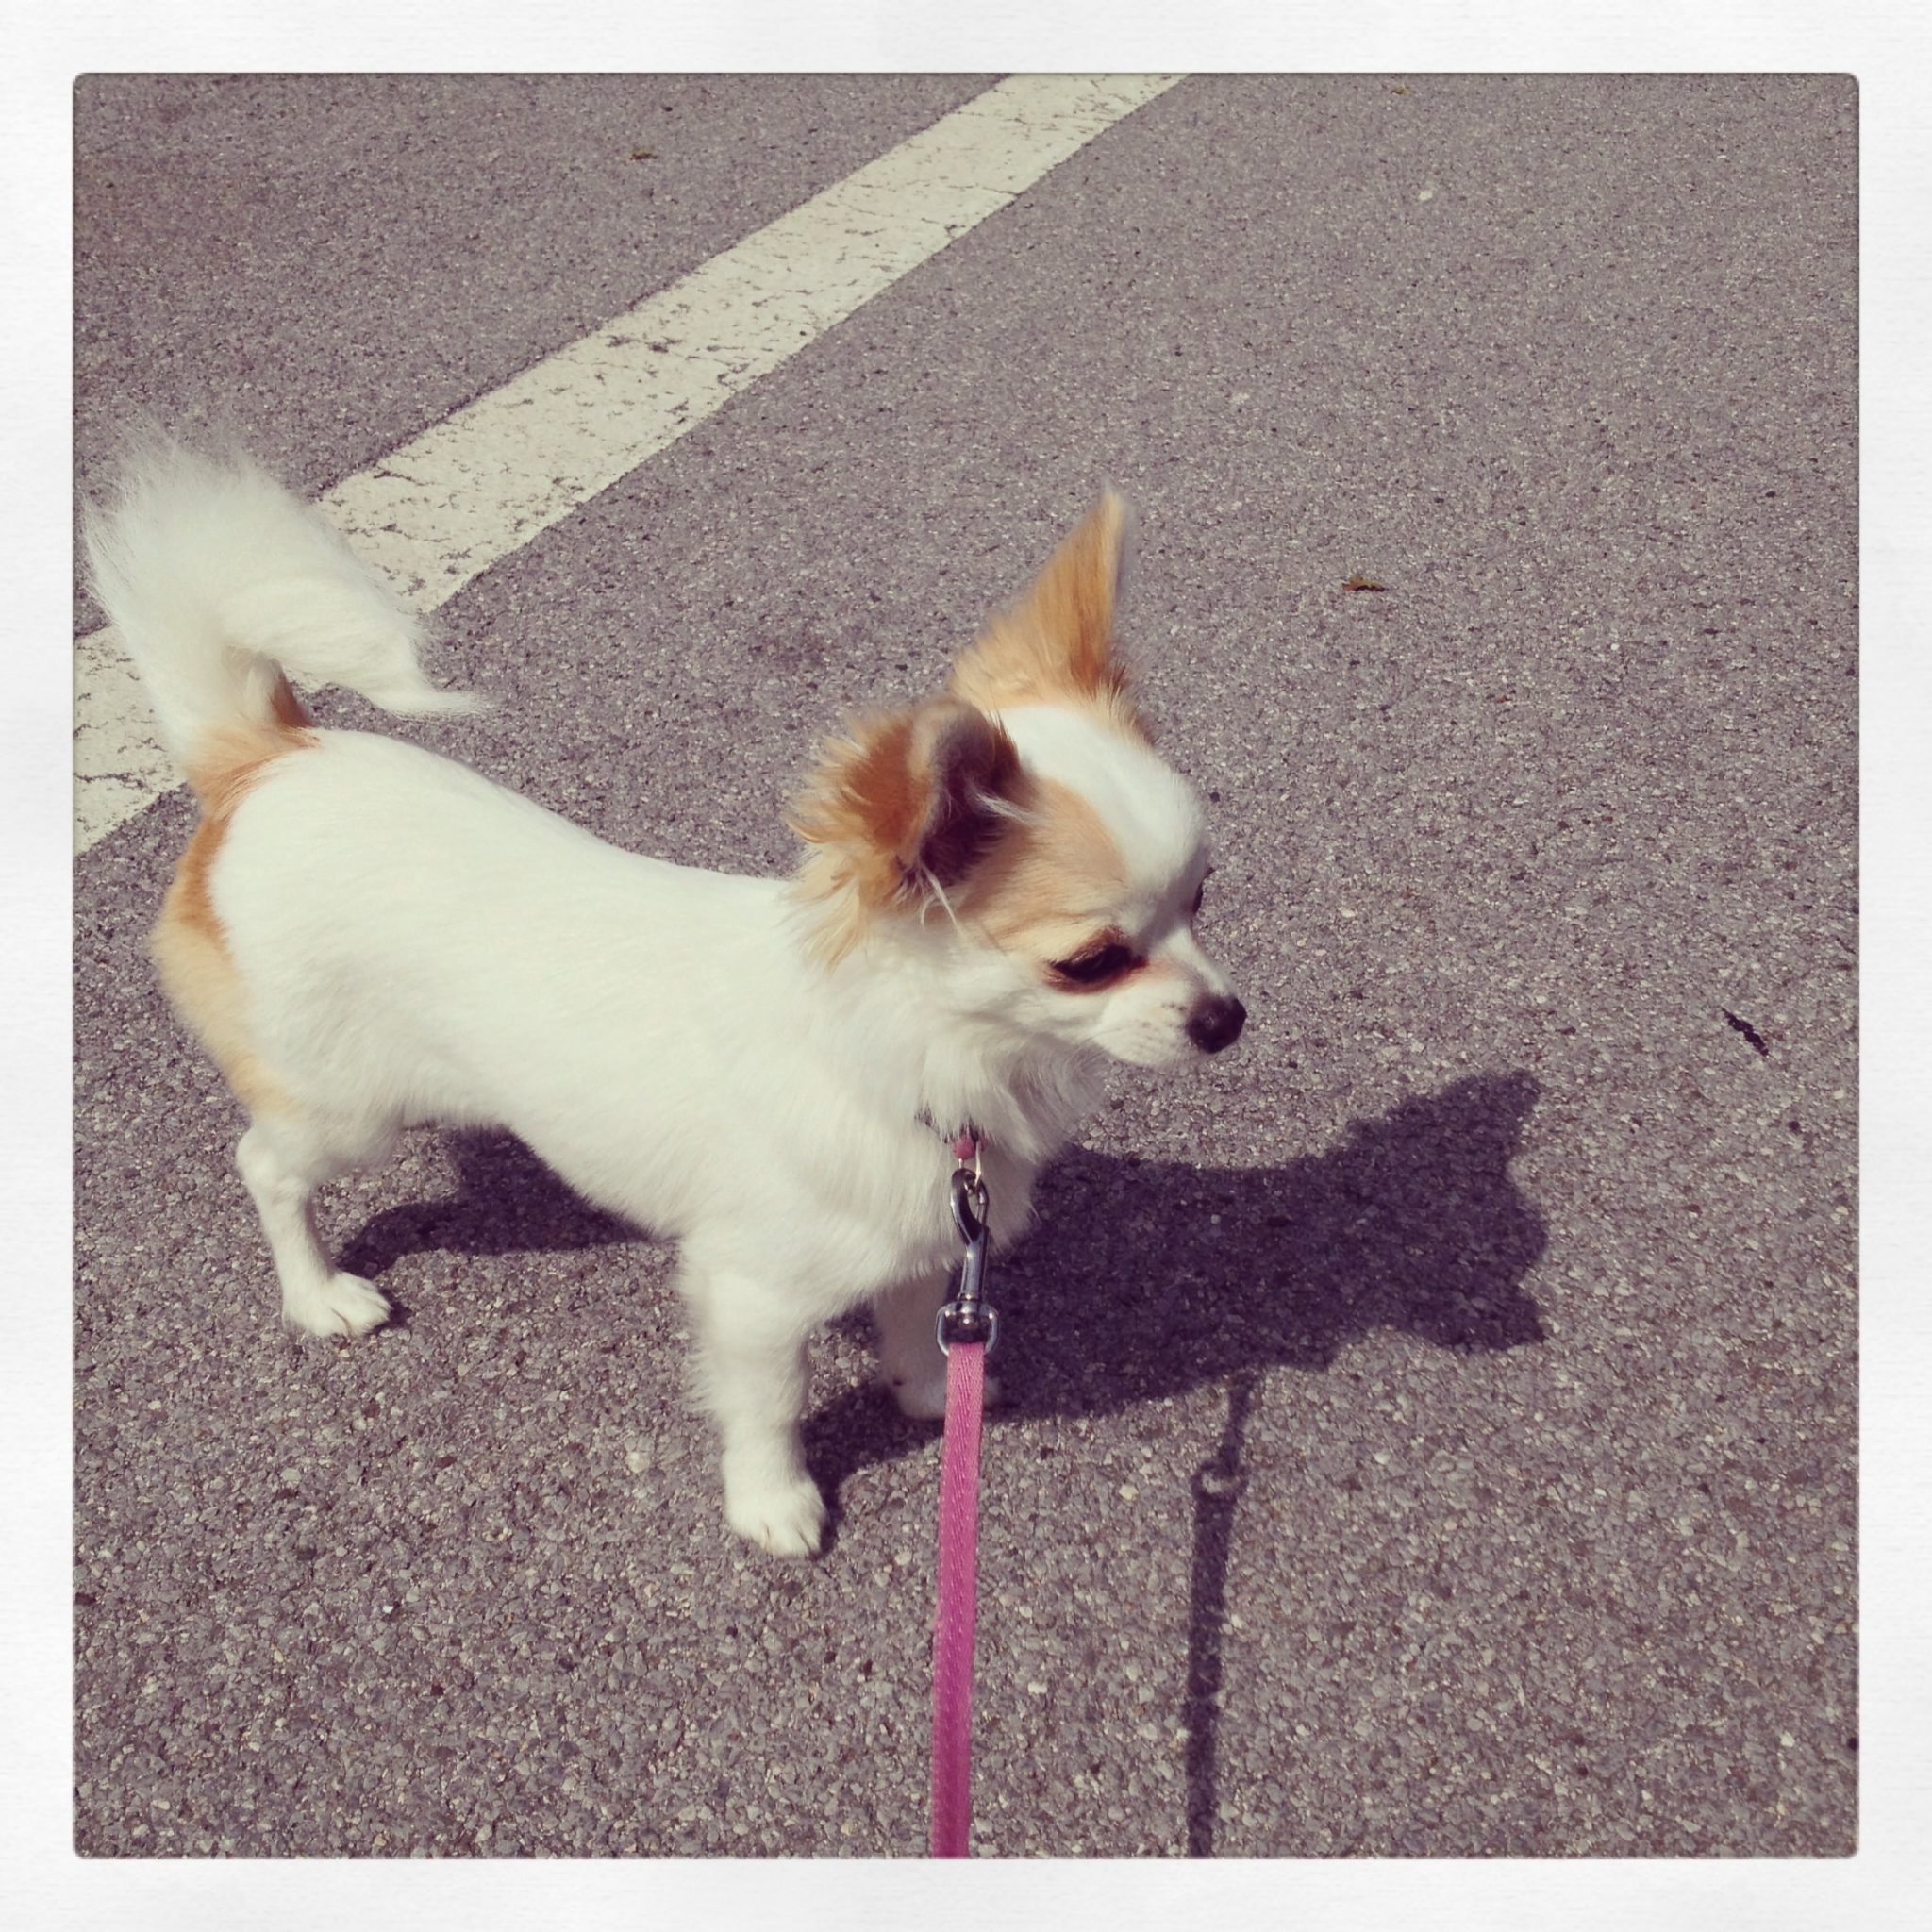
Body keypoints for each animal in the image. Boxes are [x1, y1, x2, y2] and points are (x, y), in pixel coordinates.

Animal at [85, 442, 1246, 1557]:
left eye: (1200, 899)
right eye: (1092, 961)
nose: (1225, 1018)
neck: (919, 1056)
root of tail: (267, 758)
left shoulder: (922, 1242)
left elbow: (918, 1325)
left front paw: (928, 1399)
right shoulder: (752, 1295)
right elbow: (768, 1406)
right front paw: (774, 1503)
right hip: (348, 1108)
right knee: (265, 1165)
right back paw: (317, 1293)